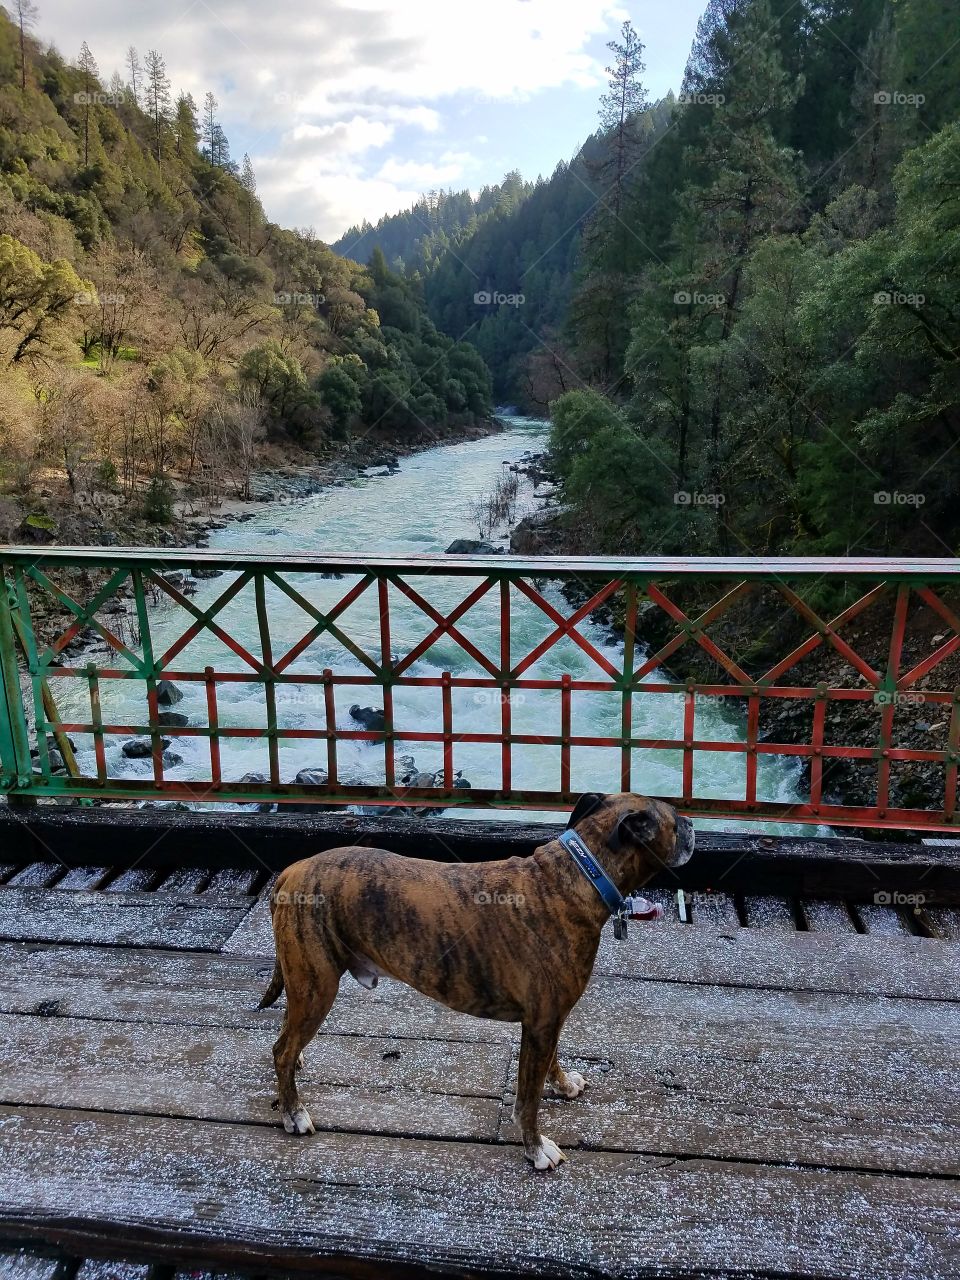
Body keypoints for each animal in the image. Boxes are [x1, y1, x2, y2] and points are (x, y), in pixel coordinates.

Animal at [259, 788, 696, 1172]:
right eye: (676, 819)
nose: (693, 825)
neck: (579, 875)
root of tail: (292, 872)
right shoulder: (540, 1025)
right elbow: (527, 1100)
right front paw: (536, 1149)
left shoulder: (549, 1021)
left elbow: (552, 1061)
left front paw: (562, 1084)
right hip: (317, 986)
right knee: (281, 1049)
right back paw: (294, 1113)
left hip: (305, 985)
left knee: (287, 1038)